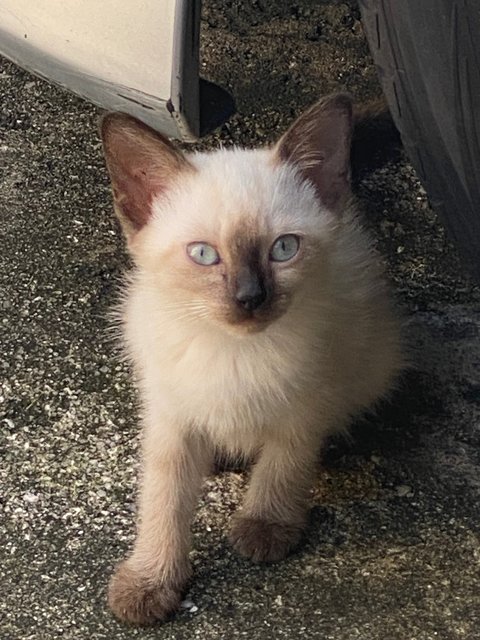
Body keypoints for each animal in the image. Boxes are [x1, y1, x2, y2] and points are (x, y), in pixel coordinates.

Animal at [100, 95, 402, 624]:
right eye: (203, 255)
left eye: (284, 248)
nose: (250, 298)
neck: (234, 353)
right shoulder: (170, 415)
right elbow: (163, 500)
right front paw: (150, 582)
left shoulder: (305, 404)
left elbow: (284, 463)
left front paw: (265, 526)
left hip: (369, 364)